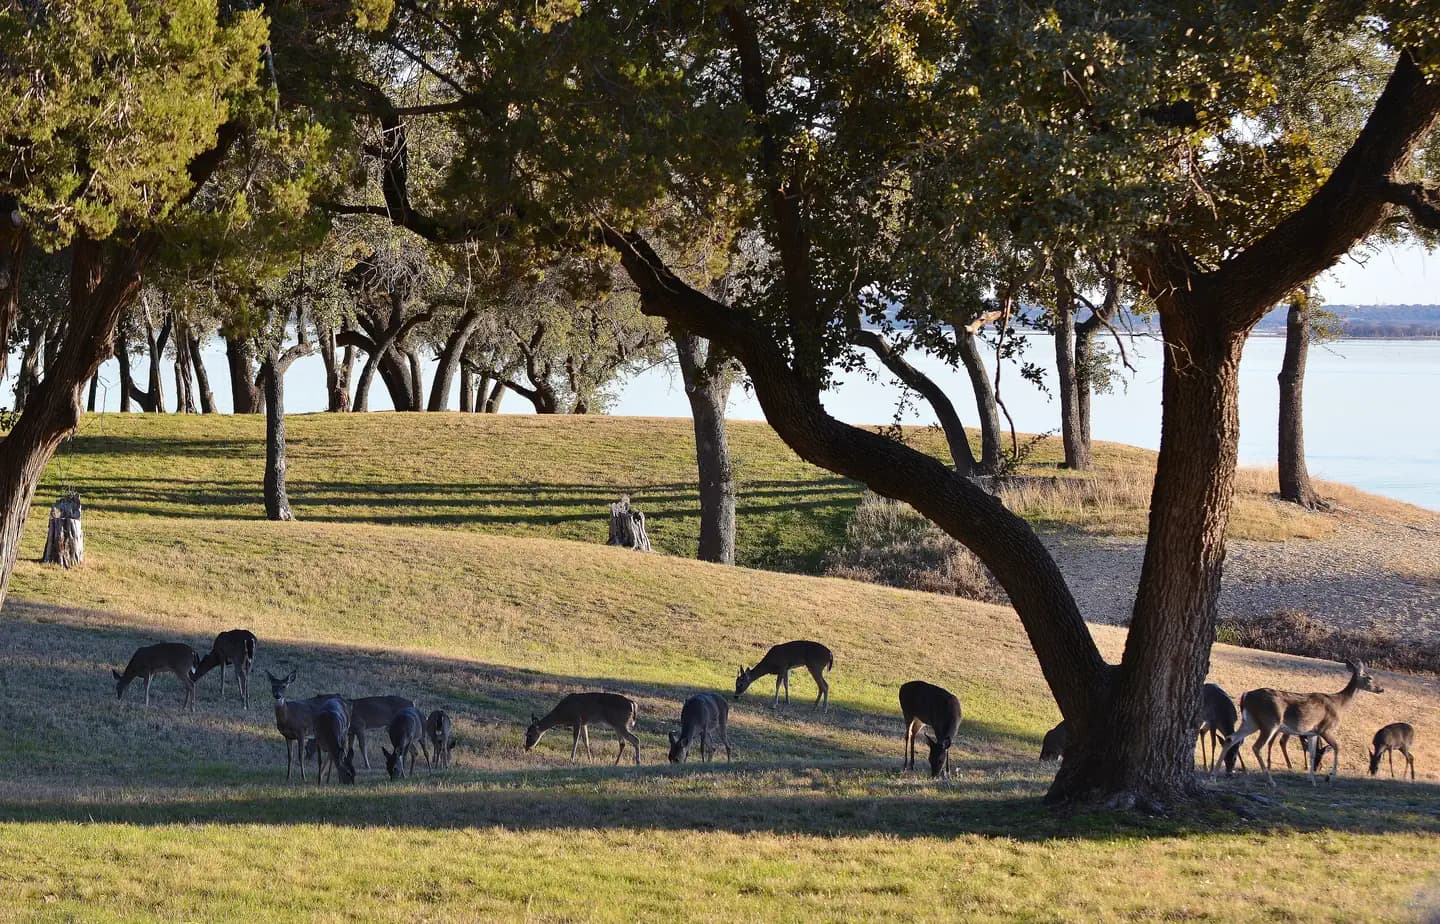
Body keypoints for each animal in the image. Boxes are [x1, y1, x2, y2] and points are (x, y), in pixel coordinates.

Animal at [1217, 659, 1384, 786]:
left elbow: (1312, 754)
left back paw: (1214, 773)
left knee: (1231, 738)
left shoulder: (1312, 732)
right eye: (1369, 677)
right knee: (1257, 746)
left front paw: (1312, 780)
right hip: (1270, 722)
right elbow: (1337, 747)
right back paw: (1271, 781)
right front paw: (1329, 776)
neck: (1339, 703)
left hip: (1251, 721)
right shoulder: (1325, 728)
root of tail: (1246, 695)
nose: (1381, 689)